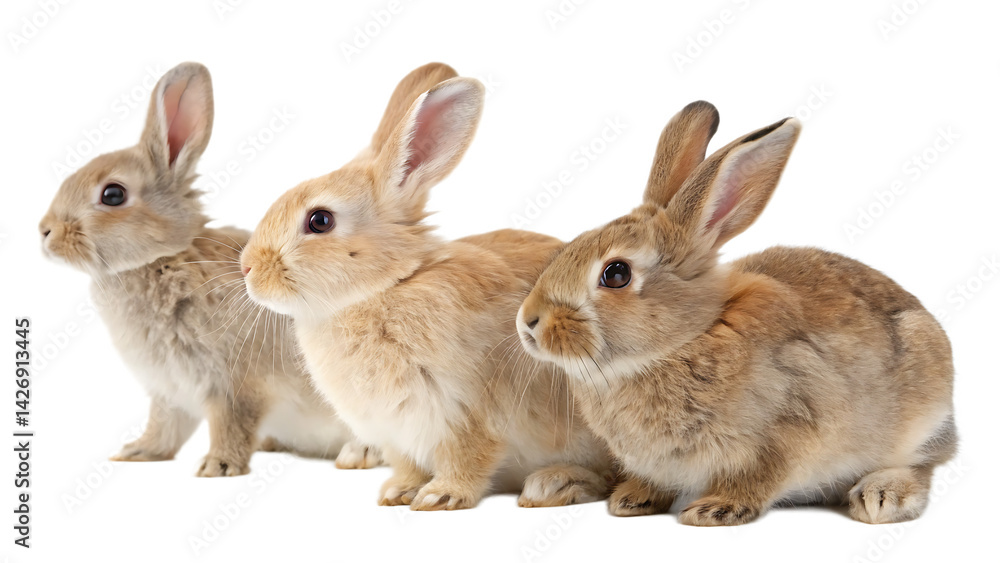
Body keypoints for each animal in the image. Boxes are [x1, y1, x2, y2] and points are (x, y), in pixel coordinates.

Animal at [39, 62, 381, 476]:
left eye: (113, 194)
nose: (45, 231)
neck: (163, 260)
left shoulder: (234, 384)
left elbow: (231, 422)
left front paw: (217, 466)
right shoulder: (168, 391)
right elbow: (164, 426)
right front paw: (138, 452)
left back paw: (360, 453)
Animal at [239, 62, 613, 510]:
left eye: (320, 221)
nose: (248, 269)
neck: (387, 287)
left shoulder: (469, 411)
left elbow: (468, 458)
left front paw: (439, 497)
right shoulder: (395, 433)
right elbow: (408, 464)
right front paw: (398, 492)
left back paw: (552, 484)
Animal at [516, 100, 957, 525]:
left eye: (616, 273)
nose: (528, 323)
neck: (682, 342)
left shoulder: (788, 427)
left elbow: (757, 477)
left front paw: (715, 510)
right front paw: (633, 499)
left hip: (921, 417)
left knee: (923, 465)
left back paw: (882, 497)